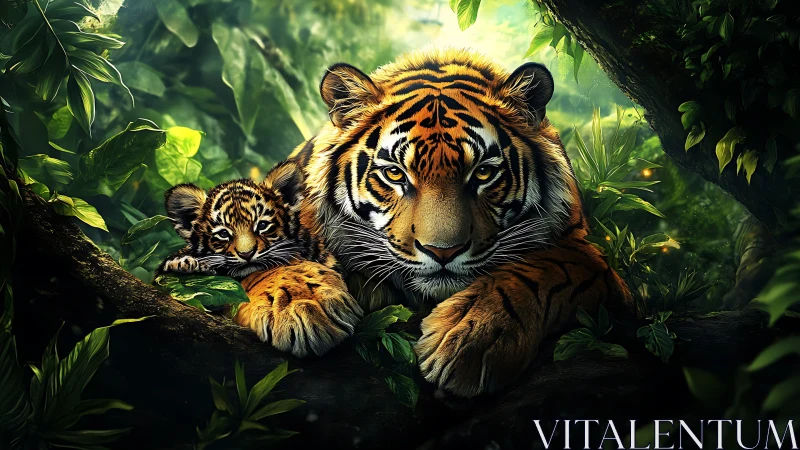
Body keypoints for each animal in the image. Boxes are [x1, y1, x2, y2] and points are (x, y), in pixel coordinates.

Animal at [236, 48, 633, 397]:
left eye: (483, 172)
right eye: (395, 173)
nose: (444, 252)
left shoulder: (591, 260)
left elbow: (540, 270)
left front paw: (472, 339)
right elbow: (262, 260)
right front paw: (300, 307)